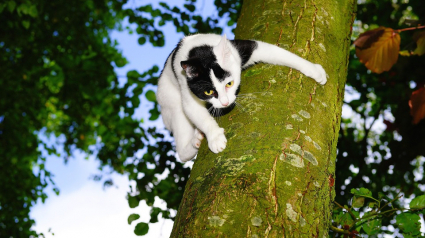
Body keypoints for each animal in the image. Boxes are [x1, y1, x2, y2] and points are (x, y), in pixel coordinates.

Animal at [156, 33, 324, 163]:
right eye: (208, 92)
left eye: (229, 83)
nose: (225, 102)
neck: (199, 49)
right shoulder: (186, 87)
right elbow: (198, 114)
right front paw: (215, 138)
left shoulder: (241, 49)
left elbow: (279, 53)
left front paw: (315, 70)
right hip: (170, 102)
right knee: (182, 152)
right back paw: (195, 141)